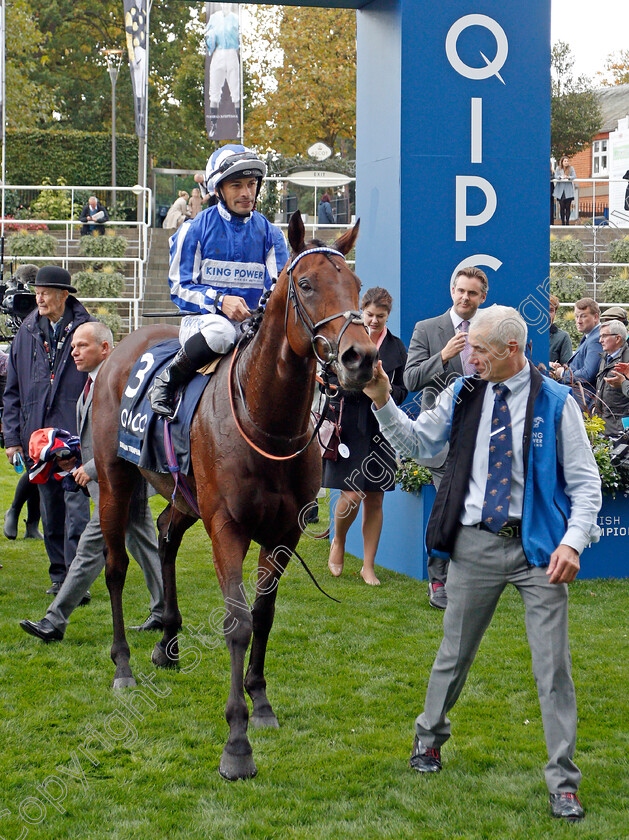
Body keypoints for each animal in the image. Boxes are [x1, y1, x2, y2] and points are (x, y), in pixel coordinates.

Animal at [90, 212, 376, 780]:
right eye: (306, 284)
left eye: (356, 285)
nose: (360, 358)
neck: (268, 423)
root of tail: (119, 350)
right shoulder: (227, 527)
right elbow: (237, 622)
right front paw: (237, 744)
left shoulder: (283, 533)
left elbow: (263, 615)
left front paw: (261, 703)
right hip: (115, 480)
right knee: (115, 568)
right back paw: (124, 664)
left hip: (184, 496)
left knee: (165, 535)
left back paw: (168, 644)